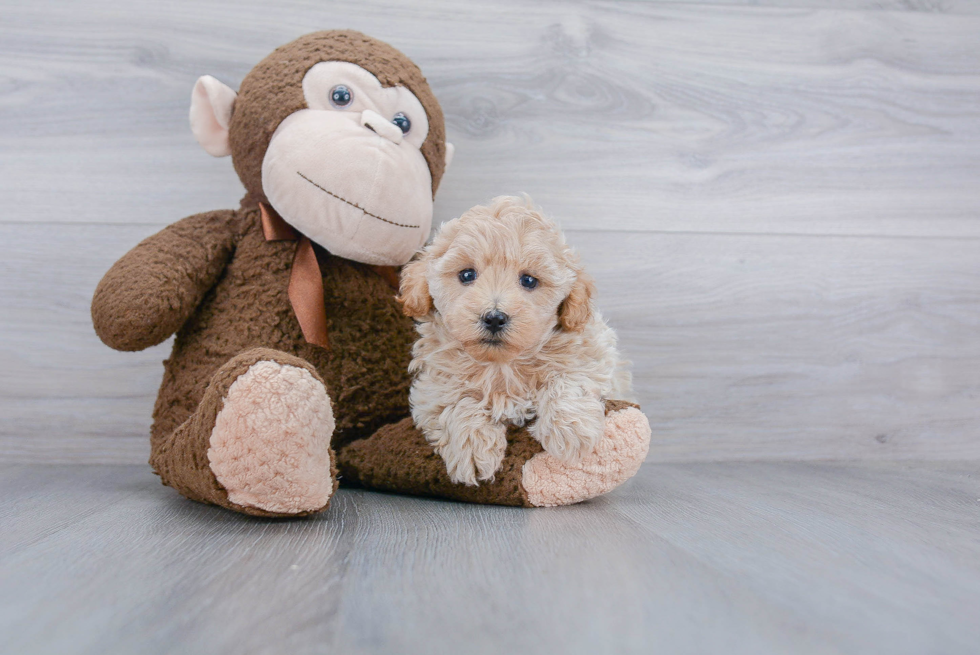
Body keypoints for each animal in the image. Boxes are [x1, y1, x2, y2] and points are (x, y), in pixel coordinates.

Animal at [398, 195, 636, 486]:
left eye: (529, 280)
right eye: (466, 275)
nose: (494, 317)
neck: (502, 365)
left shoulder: (593, 356)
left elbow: (568, 378)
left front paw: (569, 431)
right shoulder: (432, 389)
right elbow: (456, 402)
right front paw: (472, 447)